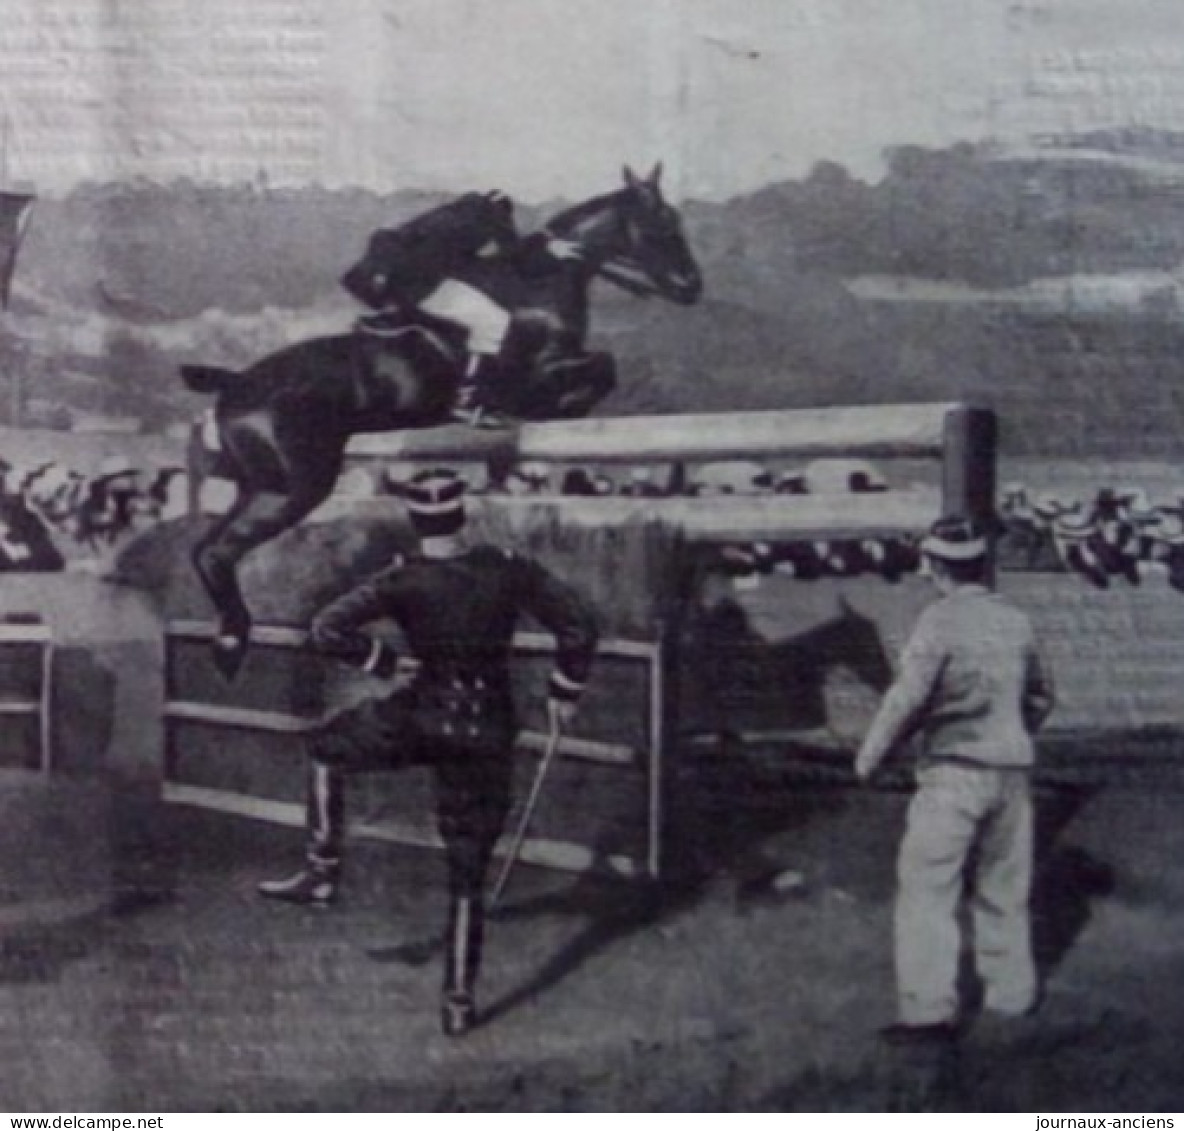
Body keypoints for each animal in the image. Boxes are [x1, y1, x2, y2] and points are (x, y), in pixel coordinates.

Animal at [182, 163, 700, 677]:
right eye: (663, 227)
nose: (692, 287)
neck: (539, 280)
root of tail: (233, 385)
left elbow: (599, 369)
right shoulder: (534, 372)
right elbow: (598, 368)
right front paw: (556, 412)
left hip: (258, 486)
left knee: (204, 547)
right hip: (294, 488)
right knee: (218, 550)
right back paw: (231, 641)